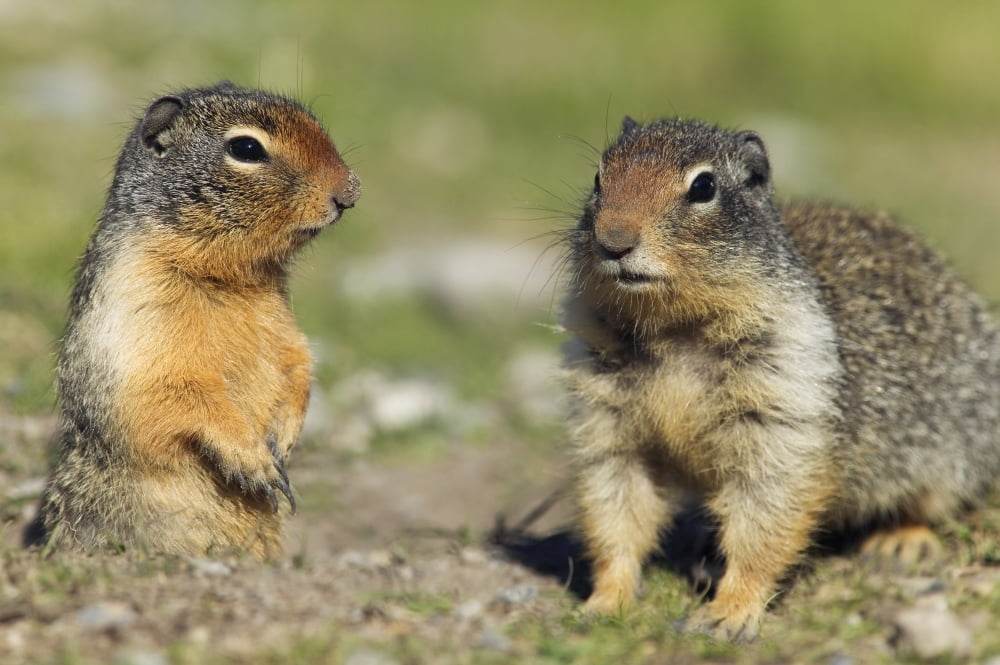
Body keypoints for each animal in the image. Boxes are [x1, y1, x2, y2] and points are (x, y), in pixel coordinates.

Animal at [26, 82, 361, 558]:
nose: (351, 193)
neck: (229, 278)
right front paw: (256, 462)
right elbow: (178, 392)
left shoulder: (285, 327)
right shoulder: (140, 316)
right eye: (245, 148)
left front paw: (284, 441)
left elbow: (298, 363)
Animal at [561, 116, 1000, 641]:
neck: (673, 329)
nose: (613, 241)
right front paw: (603, 603)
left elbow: (767, 509)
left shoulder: (784, 399)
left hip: (953, 446)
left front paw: (728, 614)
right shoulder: (606, 413)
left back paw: (898, 542)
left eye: (703, 187)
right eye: (597, 179)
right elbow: (615, 504)